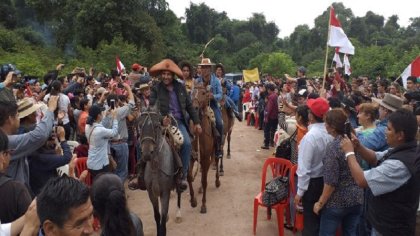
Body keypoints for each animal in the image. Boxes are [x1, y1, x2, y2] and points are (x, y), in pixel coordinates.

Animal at [137, 107, 181, 236]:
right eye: (139, 125)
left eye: (156, 126)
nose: (147, 153)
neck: (156, 167)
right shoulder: (151, 194)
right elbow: (157, 216)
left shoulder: (164, 193)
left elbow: (163, 217)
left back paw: (178, 214)